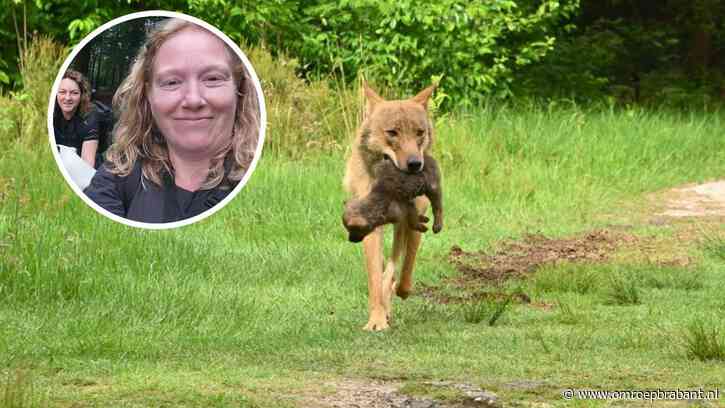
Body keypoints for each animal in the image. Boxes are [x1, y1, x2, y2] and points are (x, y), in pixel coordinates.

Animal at [343, 82, 439, 331]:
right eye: (392, 133)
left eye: (419, 133)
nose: (415, 164)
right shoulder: (370, 228)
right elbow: (376, 280)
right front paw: (376, 320)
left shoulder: (415, 223)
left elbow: (403, 273)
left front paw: (394, 295)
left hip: (402, 227)